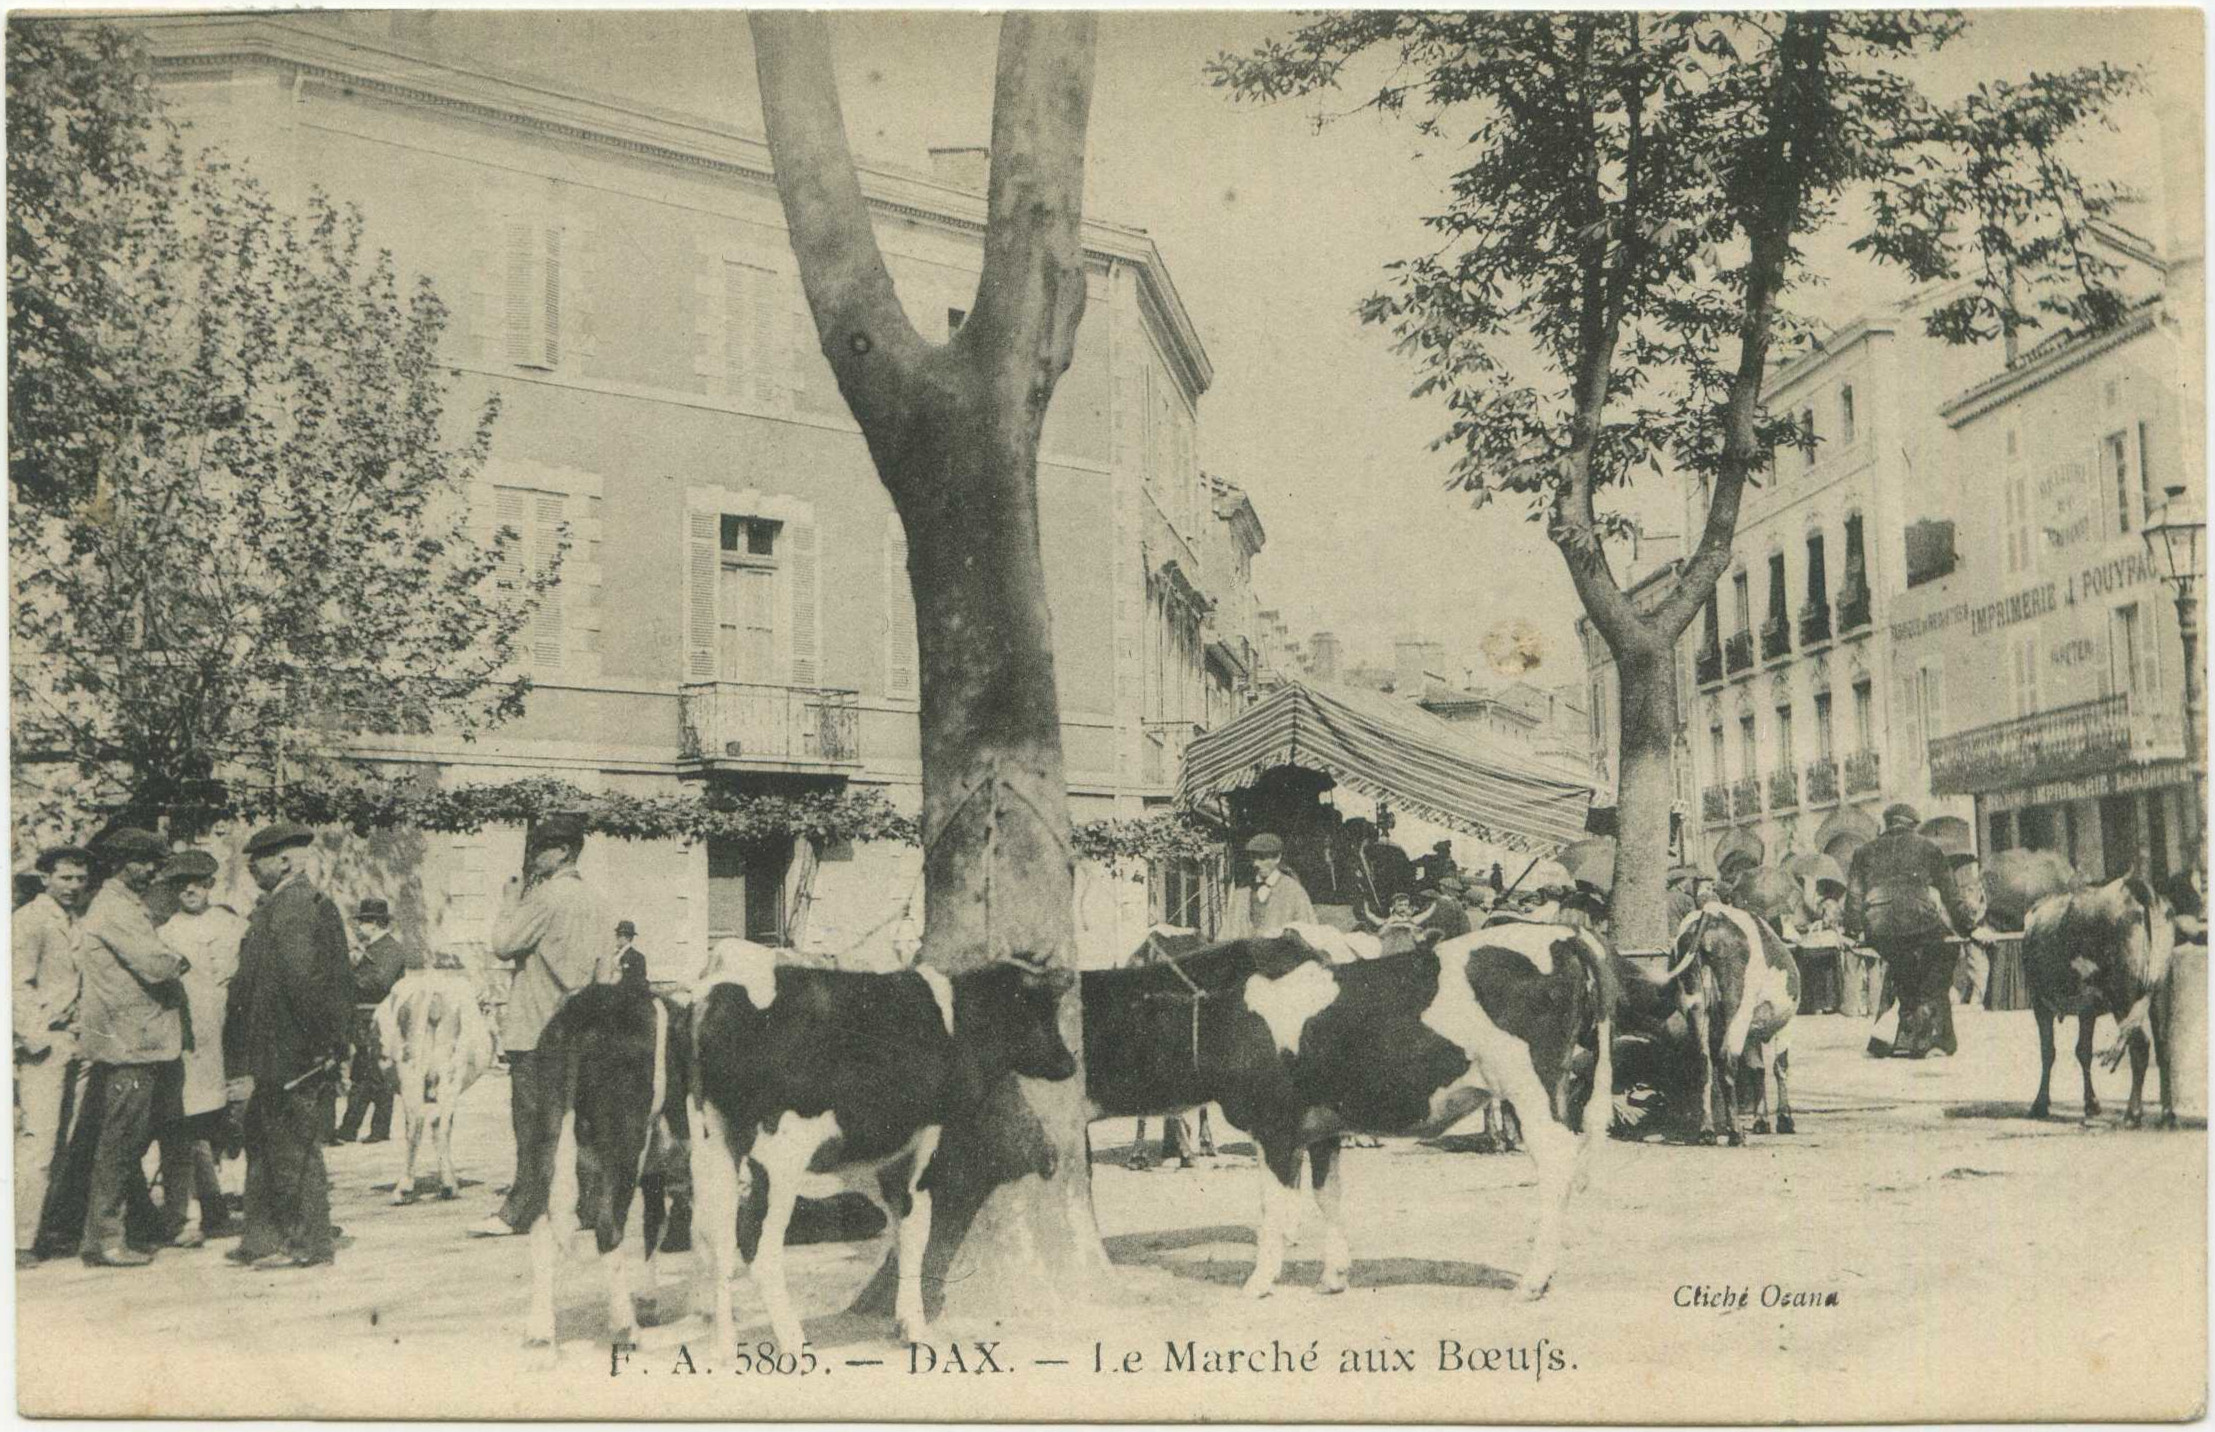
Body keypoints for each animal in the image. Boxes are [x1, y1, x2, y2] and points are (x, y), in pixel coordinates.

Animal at [376, 969, 498, 1204]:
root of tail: (432, 991)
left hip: (411, 1068)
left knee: (417, 1123)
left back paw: (405, 1189)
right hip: (450, 1072)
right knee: (438, 1123)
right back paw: (448, 1186)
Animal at [520, 978, 686, 1354]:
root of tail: (583, 1009)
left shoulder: (656, 1172)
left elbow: (655, 1224)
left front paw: (650, 1302)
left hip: (548, 1140)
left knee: (541, 1227)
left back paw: (540, 1332)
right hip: (622, 1150)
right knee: (609, 1227)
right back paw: (625, 1329)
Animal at [686, 947, 1076, 1363]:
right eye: (1039, 1009)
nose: (1070, 1064)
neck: (955, 1023)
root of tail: (721, 982)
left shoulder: (892, 1159)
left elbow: (903, 1232)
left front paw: (903, 1322)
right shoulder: (922, 1142)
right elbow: (918, 1231)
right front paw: (915, 1328)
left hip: (712, 1147)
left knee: (714, 1240)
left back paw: (724, 1346)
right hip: (779, 1158)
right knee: (756, 1245)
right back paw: (794, 1344)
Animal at [1076, 929, 1612, 1301]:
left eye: (1101, 1026)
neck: (1229, 1011)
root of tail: (1562, 935)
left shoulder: (1275, 1124)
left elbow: (1274, 1206)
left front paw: (1259, 1281)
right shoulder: (1321, 1126)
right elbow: (1326, 1195)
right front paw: (1333, 1277)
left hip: (1531, 1092)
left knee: (1557, 1169)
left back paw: (1533, 1280)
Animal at [2028, 872, 2179, 1133]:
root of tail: (2135, 886)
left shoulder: (2040, 1002)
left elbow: (2048, 1052)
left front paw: (2040, 1104)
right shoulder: (2087, 1008)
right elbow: (2083, 1051)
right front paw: (2091, 1104)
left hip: (2123, 994)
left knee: (2140, 1046)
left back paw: (2132, 1115)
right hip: (2160, 989)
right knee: (2163, 1047)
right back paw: (2167, 1116)